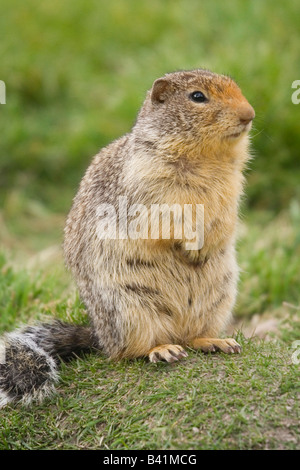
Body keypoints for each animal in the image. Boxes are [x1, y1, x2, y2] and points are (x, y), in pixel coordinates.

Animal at [0, 68, 255, 406]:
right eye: (198, 96)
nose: (249, 114)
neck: (207, 159)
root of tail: (99, 336)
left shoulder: (231, 188)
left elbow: (224, 219)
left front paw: (203, 247)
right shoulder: (148, 187)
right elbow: (165, 220)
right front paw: (190, 244)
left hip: (219, 298)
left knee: (191, 336)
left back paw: (216, 341)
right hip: (128, 308)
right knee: (130, 352)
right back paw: (162, 350)